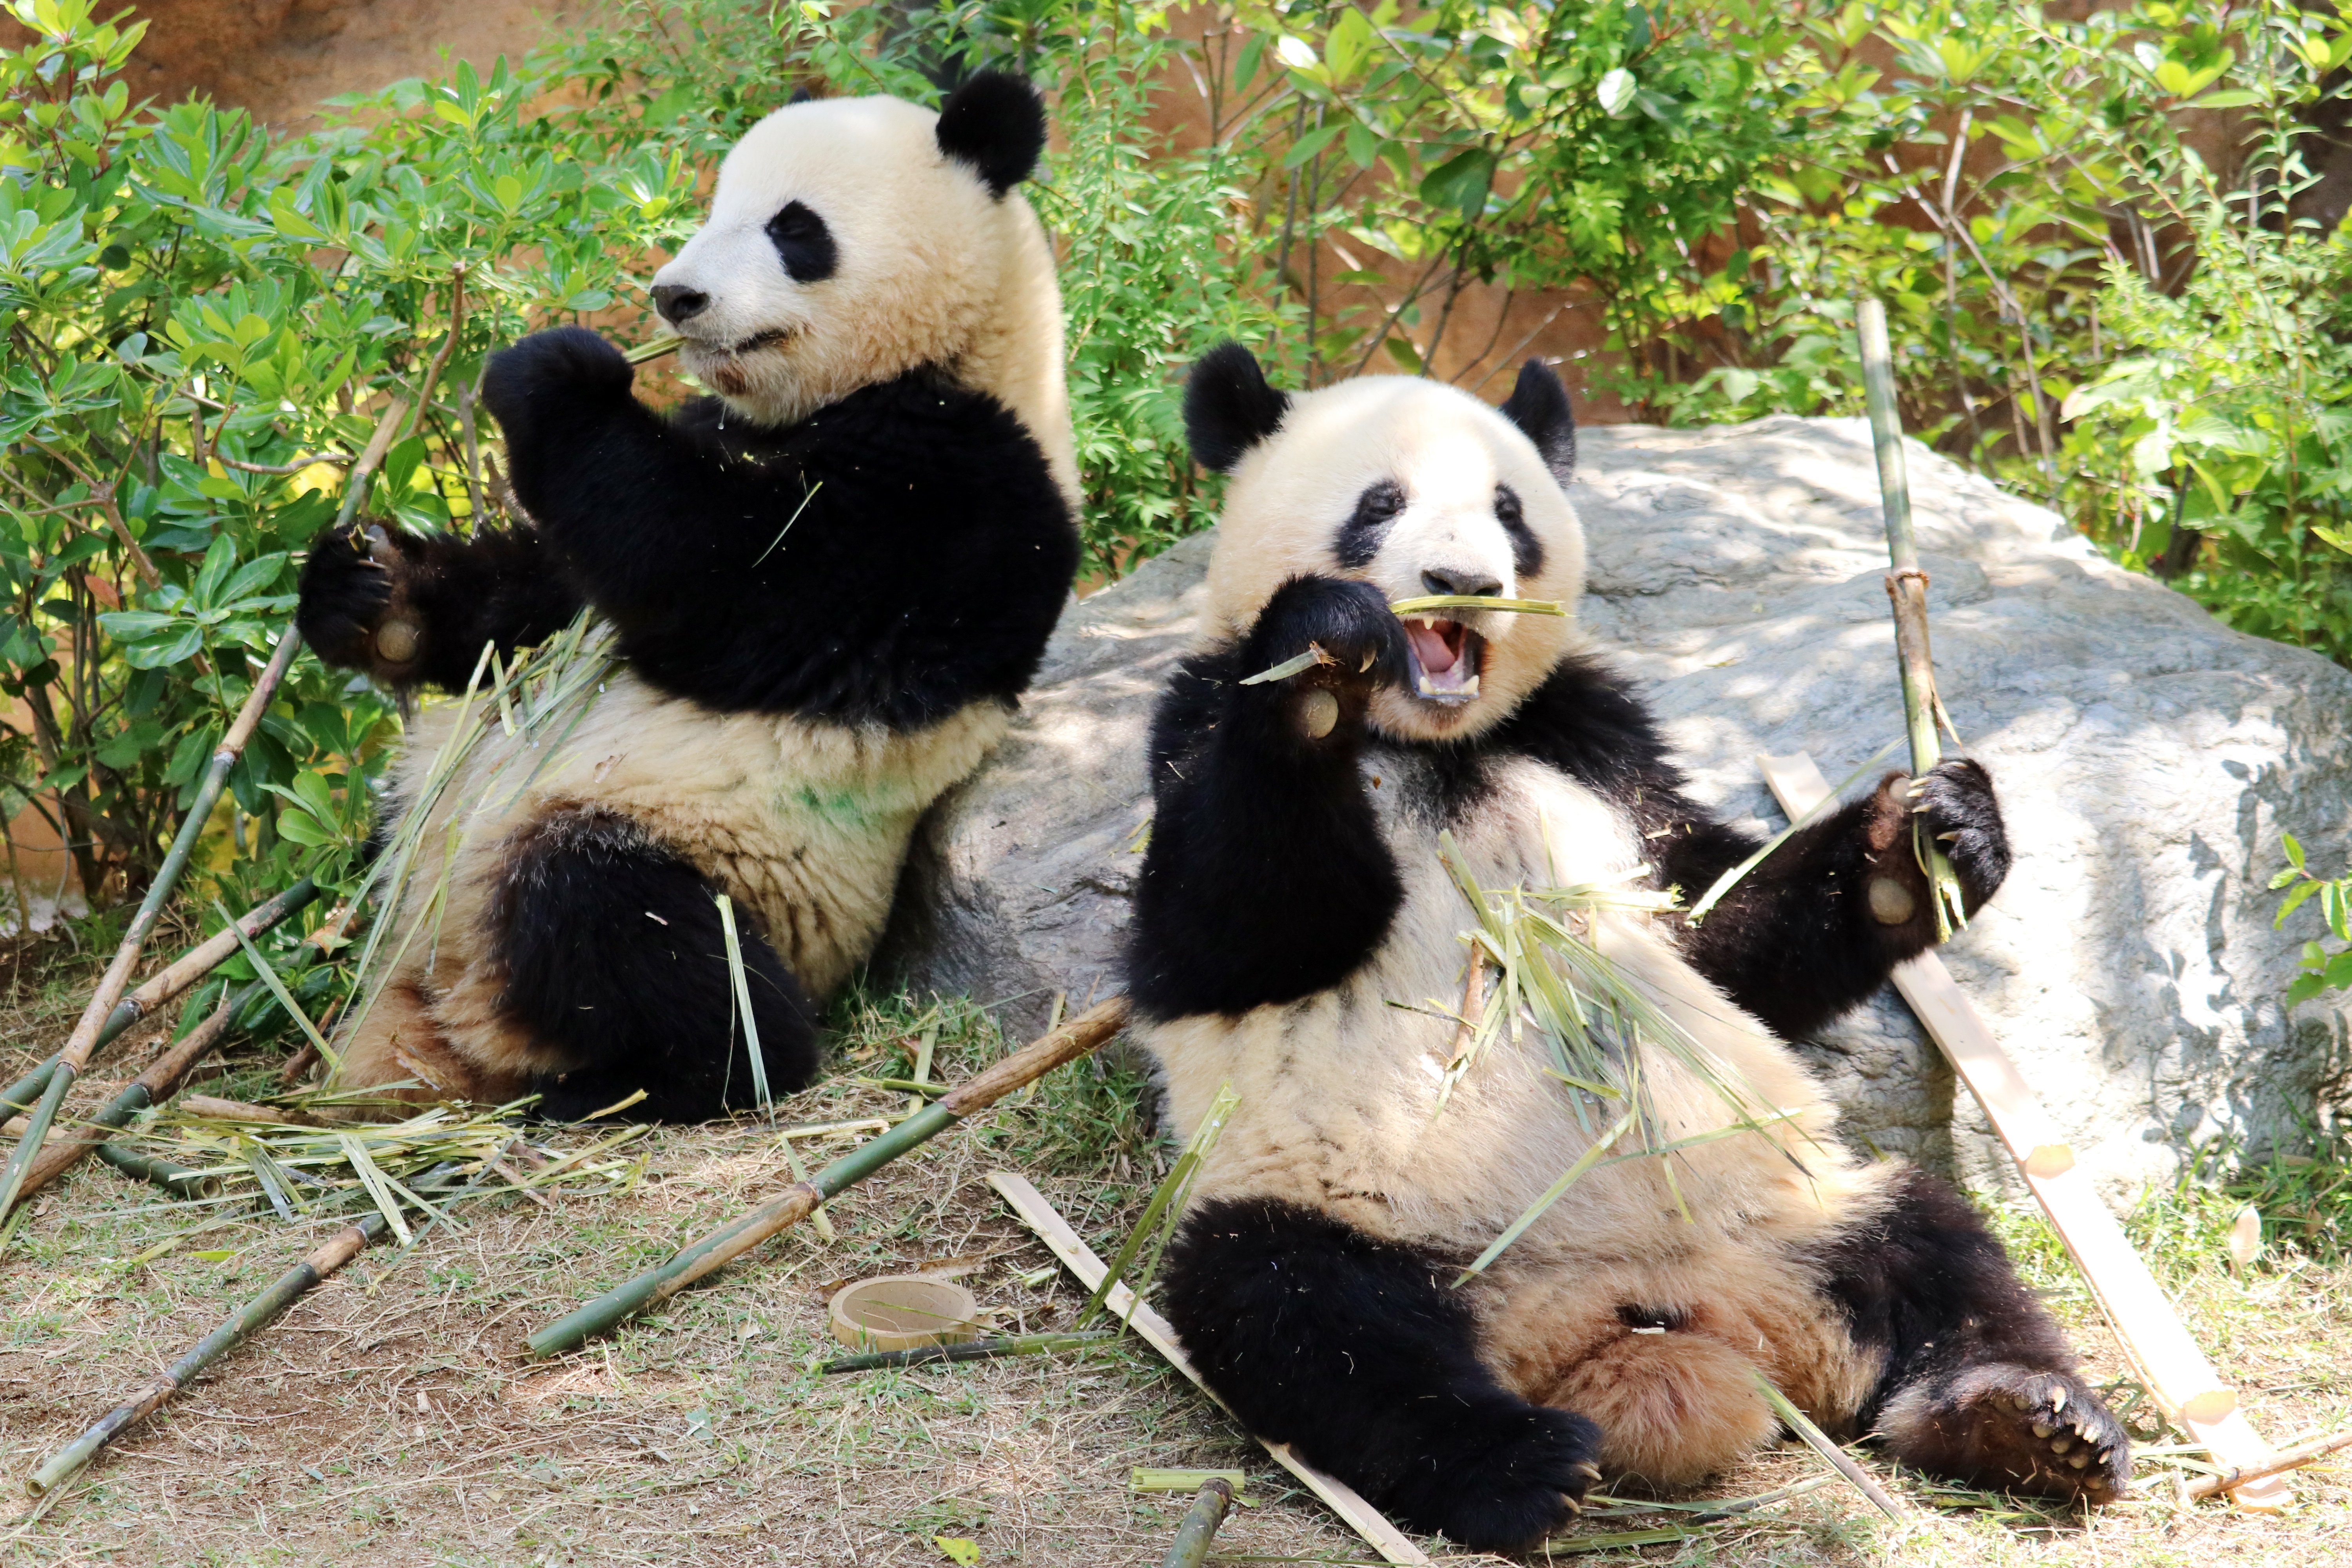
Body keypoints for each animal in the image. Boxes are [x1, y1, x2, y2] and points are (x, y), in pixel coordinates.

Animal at [293, 72, 1078, 1122]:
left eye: (794, 228)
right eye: (712, 210)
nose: (676, 296)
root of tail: (444, 996)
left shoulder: (966, 501)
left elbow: (723, 580)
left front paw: (555, 371)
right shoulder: (718, 435)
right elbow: (538, 594)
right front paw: (369, 597)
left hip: (734, 865)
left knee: (618, 921)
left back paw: (628, 1078)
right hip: (423, 810)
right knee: (414, 814)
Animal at [1129, 343, 2130, 1552]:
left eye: (1510, 513)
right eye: (1380, 505)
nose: (1464, 580)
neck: (1436, 741)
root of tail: (1630, 1317)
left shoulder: (1593, 740)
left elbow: (1716, 931)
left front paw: (1929, 836)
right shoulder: (1192, 724)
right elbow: (1228, 932)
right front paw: (1322, 662)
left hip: (1791, 1206)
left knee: (1939, 1252)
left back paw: (2027, 1420)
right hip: (1344, 1210)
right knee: (1303, 1316)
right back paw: (1518, 1464)